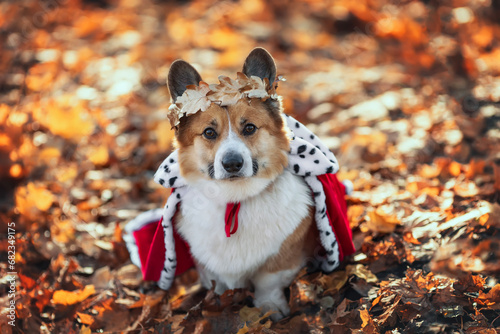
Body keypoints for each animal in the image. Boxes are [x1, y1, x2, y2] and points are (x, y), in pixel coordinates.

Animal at [168, 49, 316, 318]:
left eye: (249, 128)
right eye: (209, 133)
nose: (232, 164)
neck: (235, 200)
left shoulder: (282, 259)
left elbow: (268, 282)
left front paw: (270, 307)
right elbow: (218, 283)